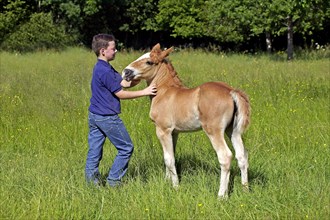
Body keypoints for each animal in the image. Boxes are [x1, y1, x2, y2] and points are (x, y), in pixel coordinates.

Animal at [122, 43, 250, 198]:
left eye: (149, 62)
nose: (126, 72)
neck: (164, 91)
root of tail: (230, 91)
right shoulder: (174, 132)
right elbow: (170, 155)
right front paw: (167, 181)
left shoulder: (163, 130)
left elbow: (169, 159)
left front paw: (175, 187)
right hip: (233, 131)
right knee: (242, 156)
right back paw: (245, 190)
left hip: (214, 131)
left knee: (225, 156)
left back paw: (221, 196)